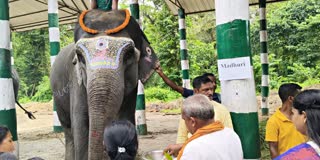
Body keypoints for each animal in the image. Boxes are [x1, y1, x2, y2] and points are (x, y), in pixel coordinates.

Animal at [50, 9, 159, 159]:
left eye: (129, 54)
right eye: (80, 56)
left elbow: (125, 120)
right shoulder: (76, 83)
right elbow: (80, 126)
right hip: (58, 100)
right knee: (68, 130)